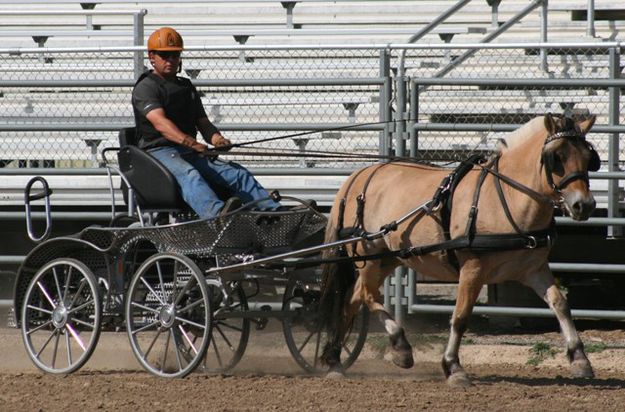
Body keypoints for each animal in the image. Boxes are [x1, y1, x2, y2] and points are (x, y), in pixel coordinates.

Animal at [320, 112, 596, 386]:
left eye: (588, 156)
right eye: (556, 157)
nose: (584, 205)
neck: (506, 197)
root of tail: (359, 175)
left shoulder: (533, 269)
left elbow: (561, 304)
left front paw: (580, 359)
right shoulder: (472, 269)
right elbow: (461, 317)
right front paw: (453, 367)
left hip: (388, 258)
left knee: (354, 298)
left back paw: (334, 359)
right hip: (367, 254)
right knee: (368, 295)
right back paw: (400, 346)